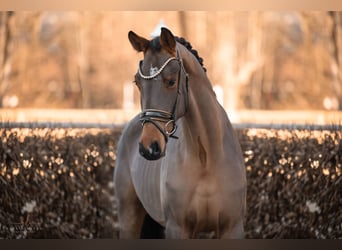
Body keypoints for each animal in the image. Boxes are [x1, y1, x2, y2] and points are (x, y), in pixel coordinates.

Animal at [114, 27, 246, 238]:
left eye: (171, 81)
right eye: (137, 82)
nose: (148, 147)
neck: (206, 159)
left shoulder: (232, 228)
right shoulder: (177, 228)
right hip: (129, 215)